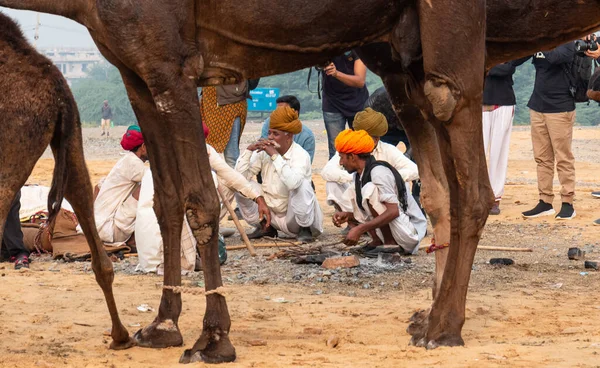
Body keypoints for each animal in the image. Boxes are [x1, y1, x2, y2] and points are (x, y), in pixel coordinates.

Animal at [1, 0, 600, 364]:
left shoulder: (169, 60)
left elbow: (200, 201)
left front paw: (213, 336)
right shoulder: (136, 65)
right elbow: (168, 200)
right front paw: (161, 326)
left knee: (461, 150)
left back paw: (442, 328)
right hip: (400, 46)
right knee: (438, 186)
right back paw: (427, 317)